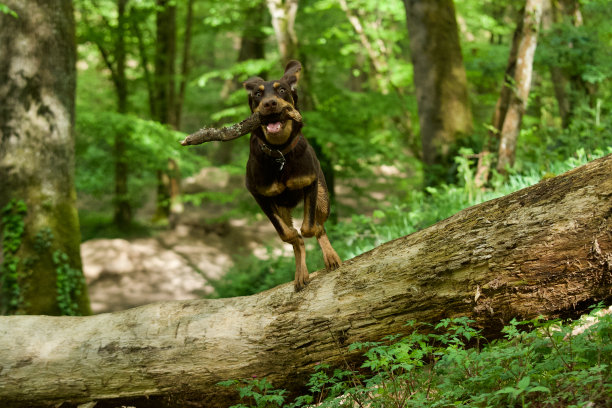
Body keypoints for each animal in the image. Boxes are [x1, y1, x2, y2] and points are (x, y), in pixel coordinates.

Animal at [241, 59, 342, 290]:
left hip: (323, 198)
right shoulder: (259, 195)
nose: (270, 103)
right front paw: (298, 256)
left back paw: (330, 256)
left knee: (321, 225)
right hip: (281, 207)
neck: (279, 153)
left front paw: (313, 238)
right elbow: (289, 235)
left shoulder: (310, 183)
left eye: (282, 90)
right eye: (258, 94)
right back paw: (300, 272)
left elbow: (309, 227)